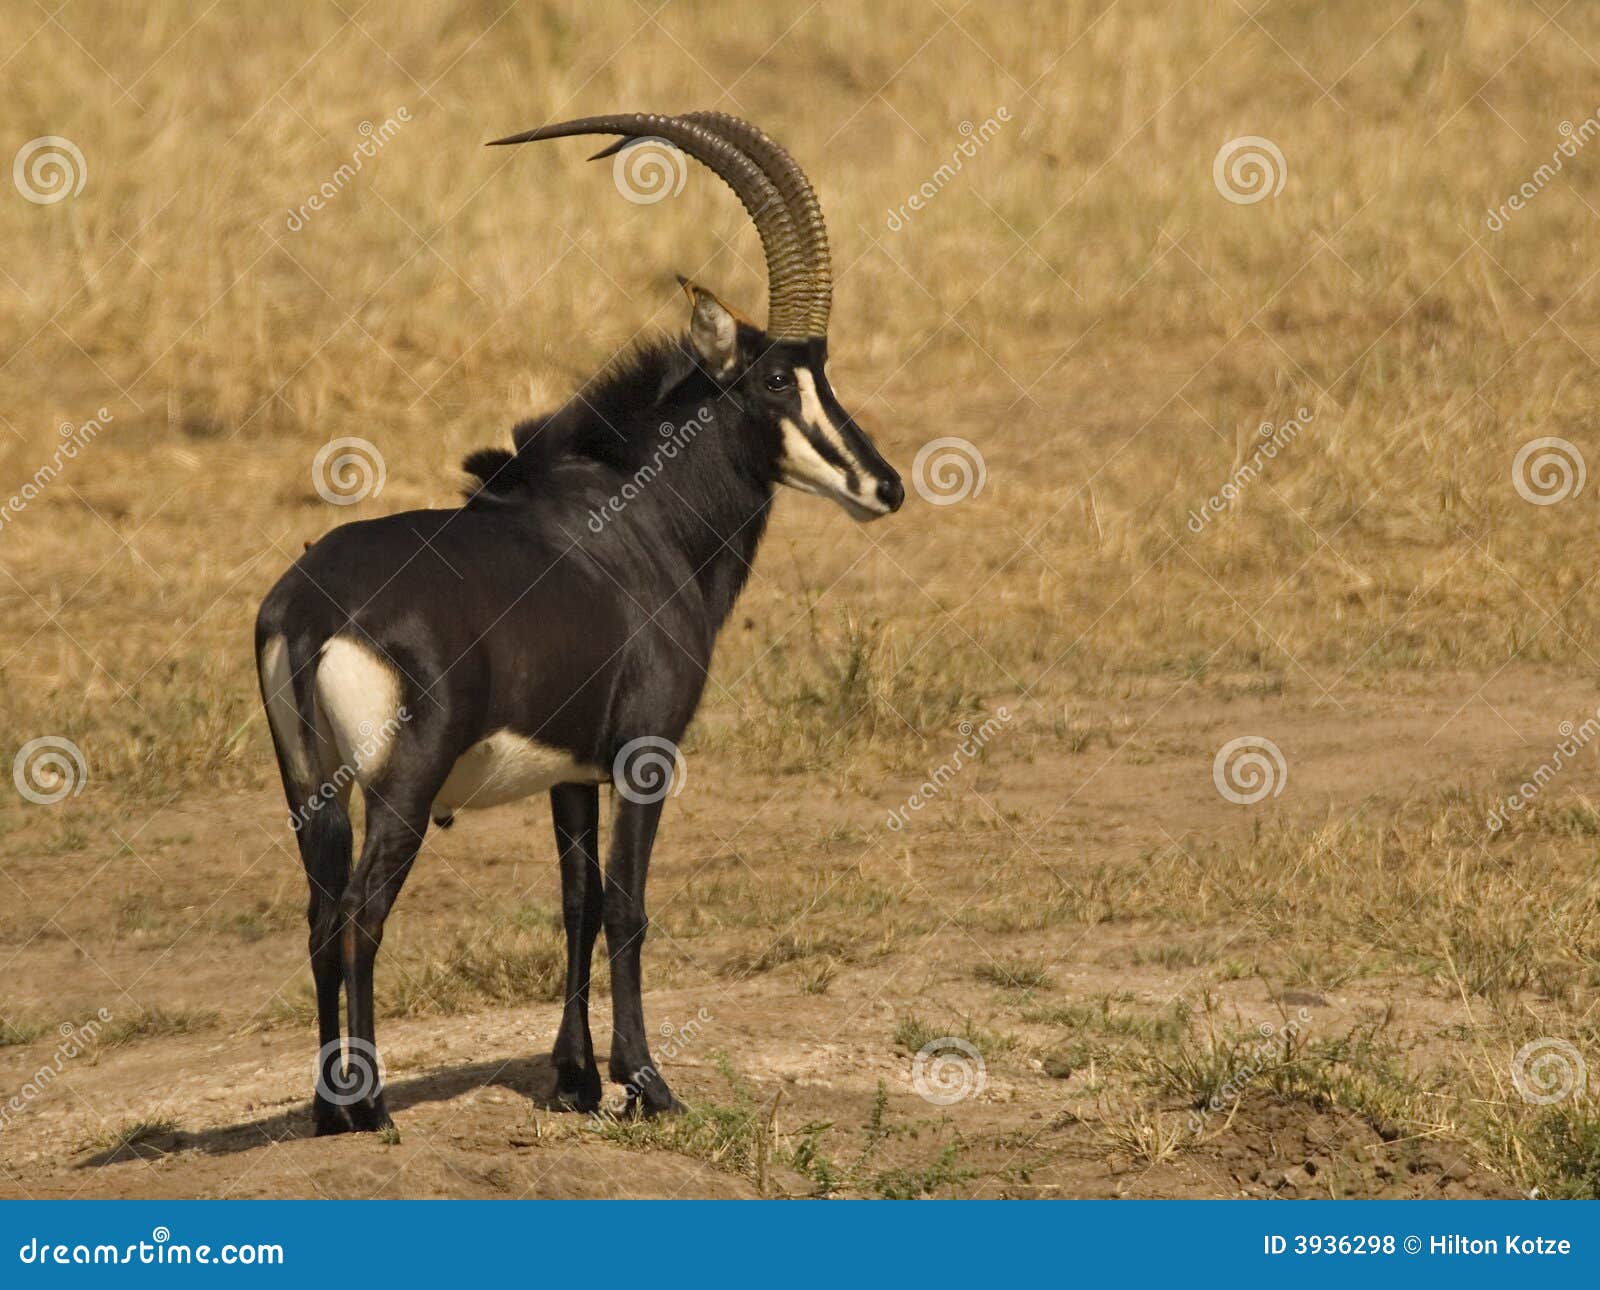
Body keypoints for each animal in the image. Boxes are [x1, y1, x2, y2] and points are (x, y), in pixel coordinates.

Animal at [249, 116, 902, 1139]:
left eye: (822, 373)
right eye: (771, 382)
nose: (884, 485)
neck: (635, 515)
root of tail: (315, 611)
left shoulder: (570, 774)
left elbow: (577, 905)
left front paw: (576, 1080)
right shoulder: (644, 754)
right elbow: (627, 906)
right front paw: (647, 1083)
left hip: (309, 788)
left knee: (321, 915)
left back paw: (327, 1110)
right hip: (401, 784)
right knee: (360, 914)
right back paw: (374, 1109)